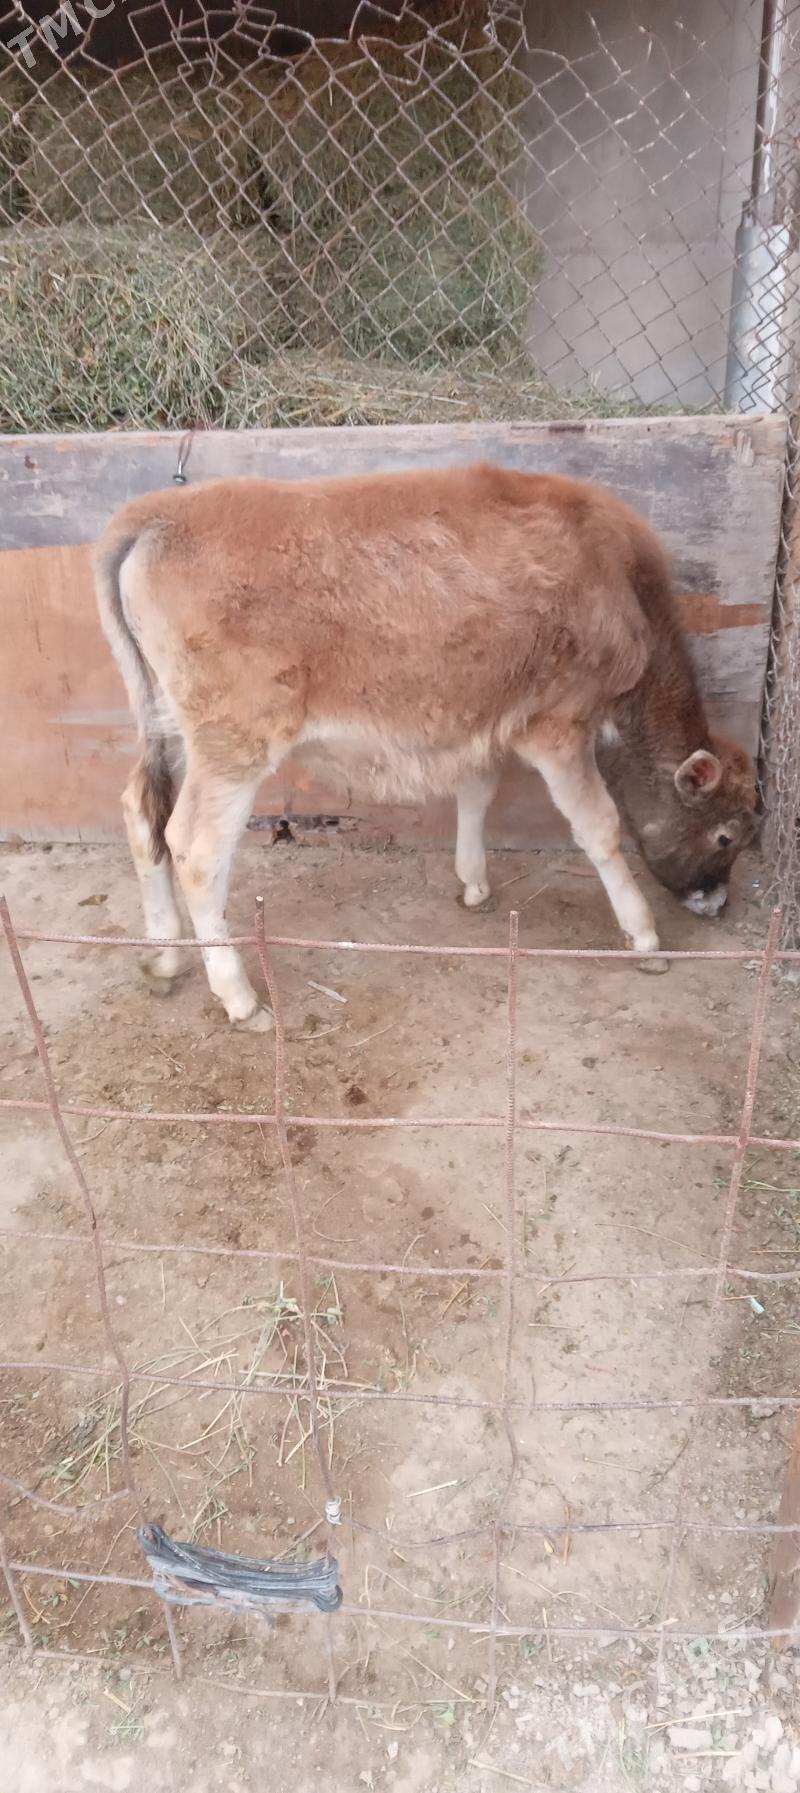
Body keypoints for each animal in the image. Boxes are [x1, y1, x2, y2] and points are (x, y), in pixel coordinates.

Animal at [95, 463, 758, 1030]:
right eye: (726, 836)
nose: (717, 903)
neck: (616, 578)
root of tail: (156, 513)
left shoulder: (488, 717)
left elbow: (477, 791)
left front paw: (474, 883)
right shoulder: (558, 724)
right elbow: (600, 827)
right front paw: (643, 936)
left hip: (170, 730)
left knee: (140, 814)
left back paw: (164, 957)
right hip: (233, 745)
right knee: (196, 848)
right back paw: (239, 998)